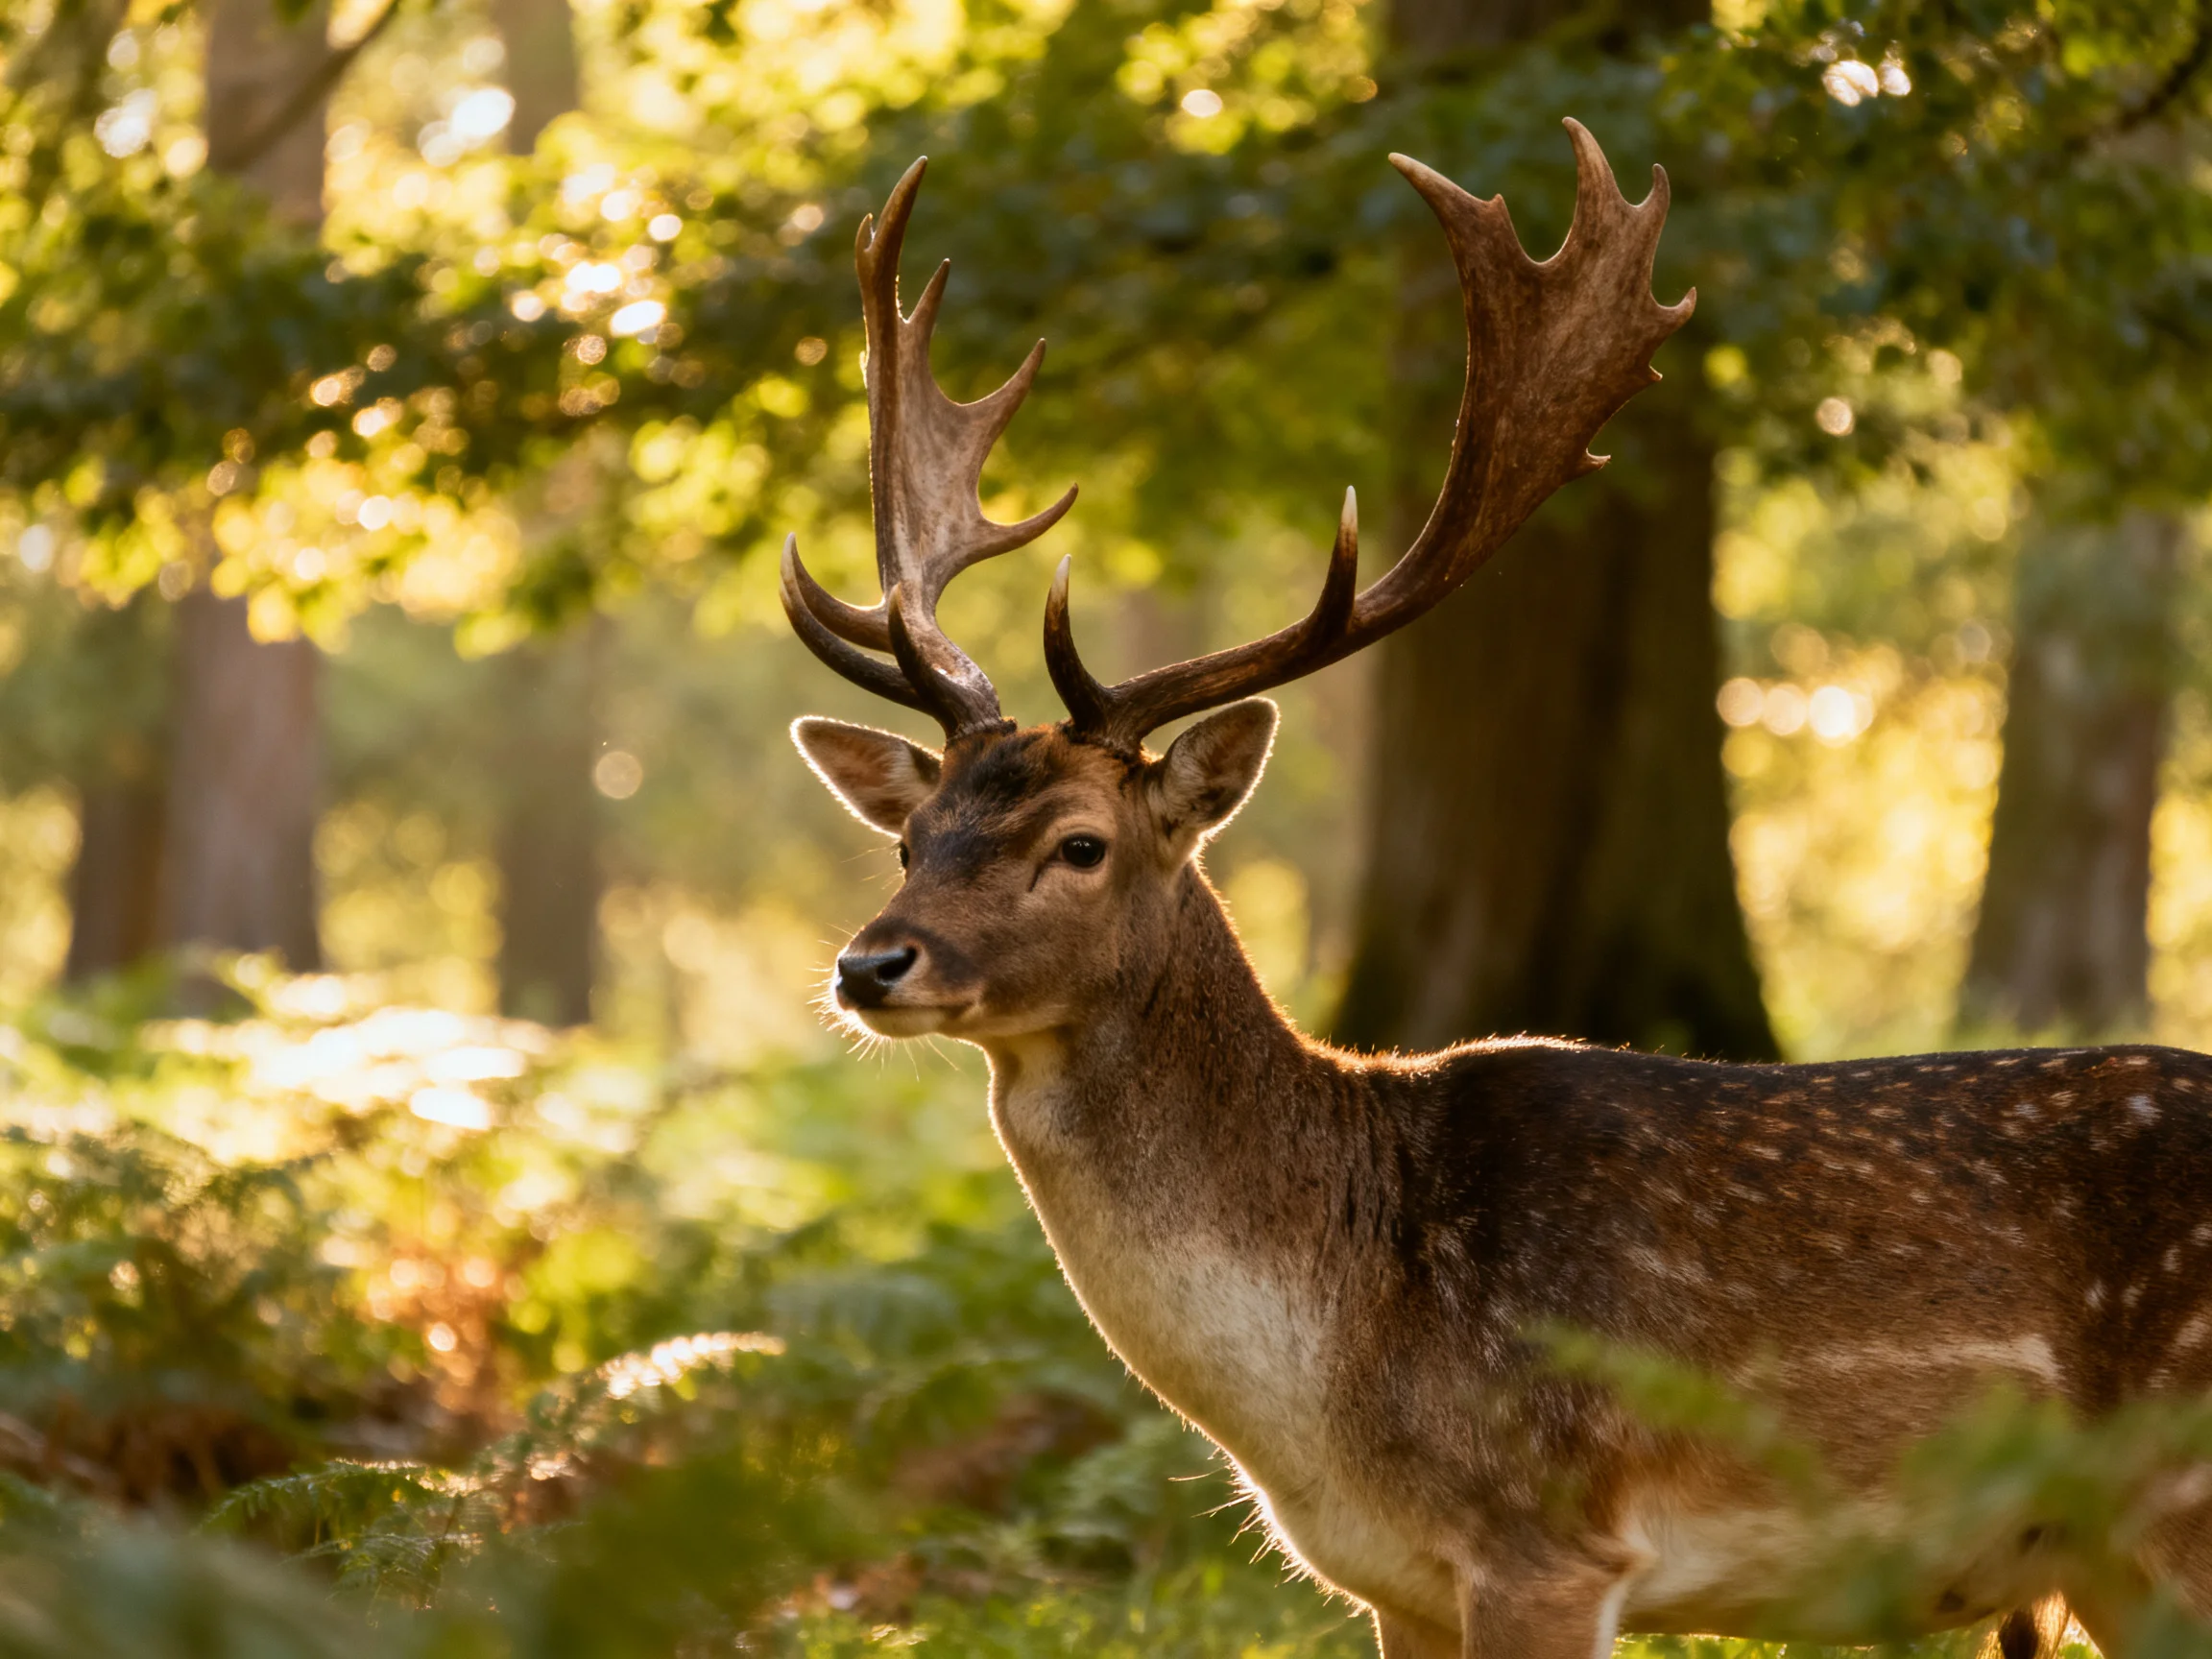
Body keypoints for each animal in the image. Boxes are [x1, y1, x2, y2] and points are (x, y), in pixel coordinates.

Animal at [779, 123, 2212, 1659]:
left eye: (1081, 844)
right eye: (912, 836)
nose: (871, 964)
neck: (1328, 1389)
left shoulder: (1549, 1541)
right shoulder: (1398, 1583)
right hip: (2111, 1564)